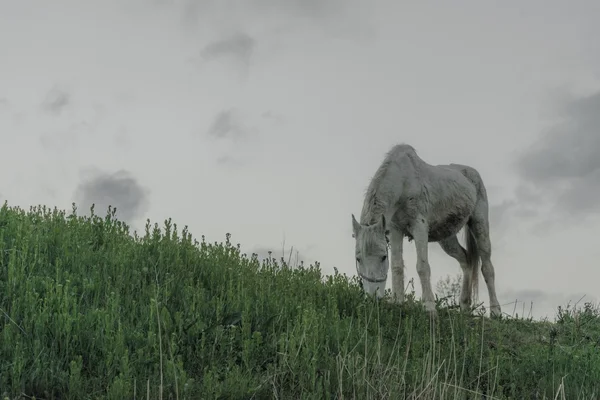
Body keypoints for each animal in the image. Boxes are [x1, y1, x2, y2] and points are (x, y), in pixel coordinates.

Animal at [352, 144, 502, 318]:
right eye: (358, 259)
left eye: (383, 257)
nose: (373, 297)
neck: (403, 182)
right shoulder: (396, 230)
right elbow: (397, 266)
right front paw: (398, 303)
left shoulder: (419, 226)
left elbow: (422, 267)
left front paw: (429, 307)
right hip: (447, 240)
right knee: (466, 260)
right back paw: (464, 306)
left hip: (480, 224)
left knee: (487, 267)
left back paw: (496, 311)